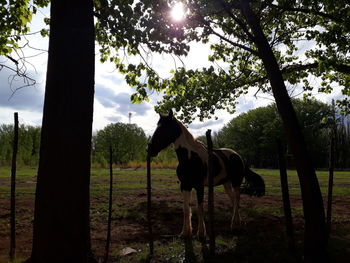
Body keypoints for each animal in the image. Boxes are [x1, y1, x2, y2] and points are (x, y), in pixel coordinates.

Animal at [146, 110, 264, 239]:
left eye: (164, 128)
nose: (150, 149)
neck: (190, 158)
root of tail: (238, 156)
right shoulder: (185, 185)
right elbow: (186, 209)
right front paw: (185, 233)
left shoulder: (199, 186)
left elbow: (200, 207)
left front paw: (201, 233)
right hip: (226, 184)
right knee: (234, 201)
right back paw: (238, 223)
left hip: (236, 182)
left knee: (237, 199)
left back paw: (234, 225)